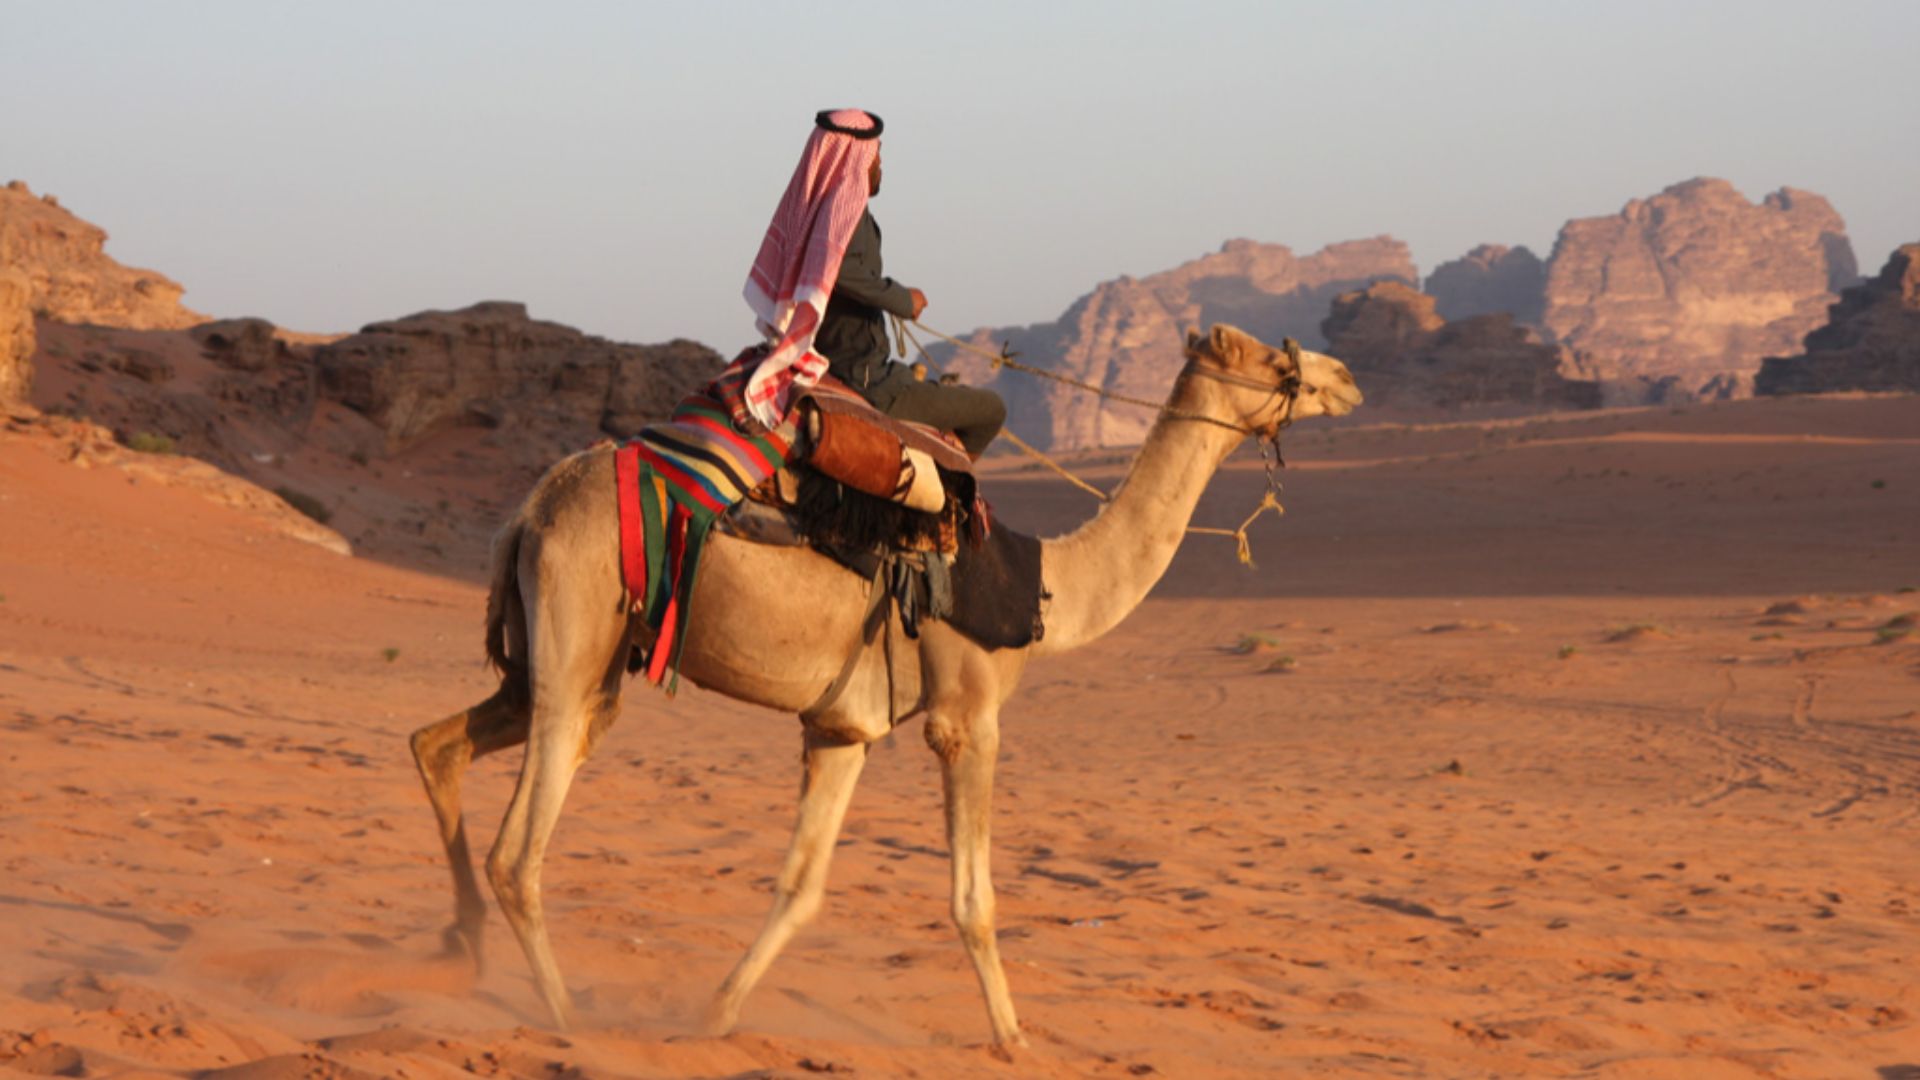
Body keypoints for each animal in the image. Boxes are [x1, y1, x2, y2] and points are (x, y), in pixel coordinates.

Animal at [408, 323, 1361, 1048]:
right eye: (1275, 363)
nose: (1345, 378)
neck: (1046, 586)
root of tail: (529, 511)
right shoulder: (967, 715)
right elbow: (974, 900)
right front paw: (1015, 1039)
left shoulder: (843, 727)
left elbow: (801, 885)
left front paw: (715, 1013)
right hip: (580, 623)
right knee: (518, 851)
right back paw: (565, 1016)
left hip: (570, 655)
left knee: (442, 742)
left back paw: (464, 945)